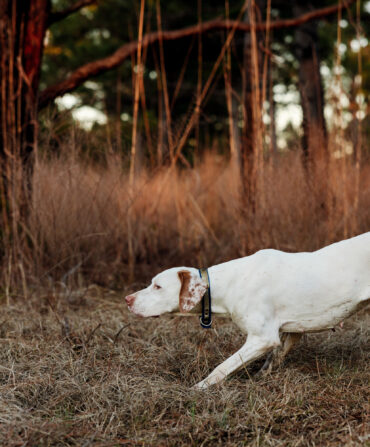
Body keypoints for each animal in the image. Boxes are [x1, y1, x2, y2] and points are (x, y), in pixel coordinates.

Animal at [125, 233, 370, 390]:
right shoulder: (292, 330)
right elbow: (273, 360)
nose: (127, 300)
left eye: (158, 286)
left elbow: (222, 367)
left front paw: (198, 388)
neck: (229, 283)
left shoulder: (262, 338)